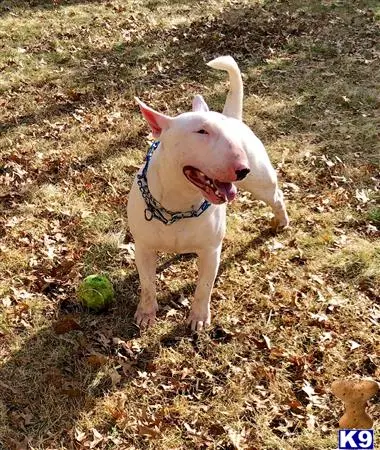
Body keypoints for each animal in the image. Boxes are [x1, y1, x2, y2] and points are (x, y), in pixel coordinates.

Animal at [127, 55, 288, 330]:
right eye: (201, 131)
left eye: (231, 137)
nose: (242, 169)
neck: (179, 206)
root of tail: (232, 116)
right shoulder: (144, 248)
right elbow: (147, 284)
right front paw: (146, 314)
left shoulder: (211, 251)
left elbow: (204, 286)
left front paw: (199, 318)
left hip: (261, 181)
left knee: (277, 197)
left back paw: (282, 221)